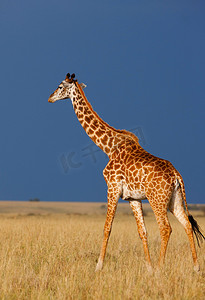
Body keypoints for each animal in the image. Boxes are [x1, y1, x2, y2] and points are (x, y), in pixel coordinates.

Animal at [48, 72, 203, 272]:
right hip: (174, 199)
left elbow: (107, 227)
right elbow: (142, 231)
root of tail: (177, 176)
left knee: (165, 228)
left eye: (60, 86)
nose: (50, 98)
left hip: (157, 199)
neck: (109, 147)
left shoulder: (112, 188)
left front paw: (98, 266)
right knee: (187, 224)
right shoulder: (133, 198)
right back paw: (196, 267)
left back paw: (161, 267)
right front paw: (148, 268)